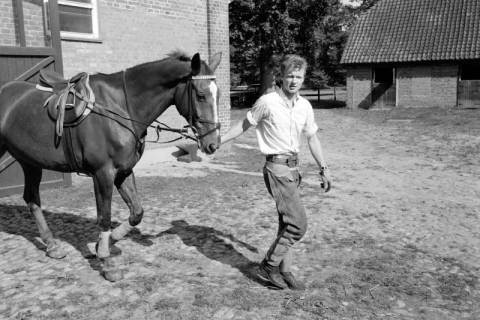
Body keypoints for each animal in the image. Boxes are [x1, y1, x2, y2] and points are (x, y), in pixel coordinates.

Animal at [0, 52, 222, 280]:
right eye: (201, 95)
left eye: (219, 95)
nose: (213, 143)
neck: (122, 107)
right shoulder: (103, 173)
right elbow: (104, 217)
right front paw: (107, 262)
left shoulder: (124, 171)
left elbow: (136, 212)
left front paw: (102, 245)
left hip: (29, 161)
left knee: (32, 198)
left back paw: (52, 245)